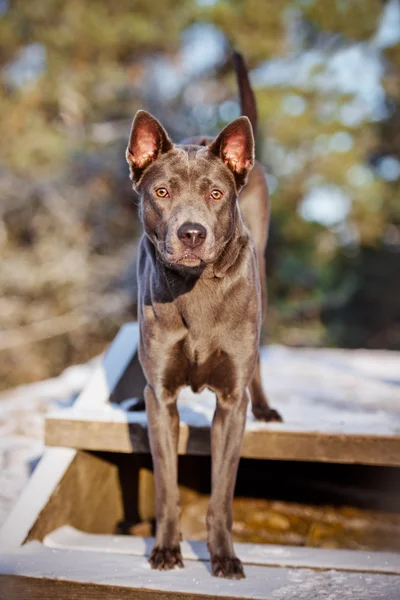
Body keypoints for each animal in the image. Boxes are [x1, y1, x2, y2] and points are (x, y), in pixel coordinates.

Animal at [126, 52, 282, 580]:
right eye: (162, 192)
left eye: (215, 194)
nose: (191, 233)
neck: (196, 291)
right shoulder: (162, 398)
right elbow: (167, 487)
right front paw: (166, 549)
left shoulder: (230, 404)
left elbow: (221, 495)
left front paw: (224, 556)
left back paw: (267, 406)